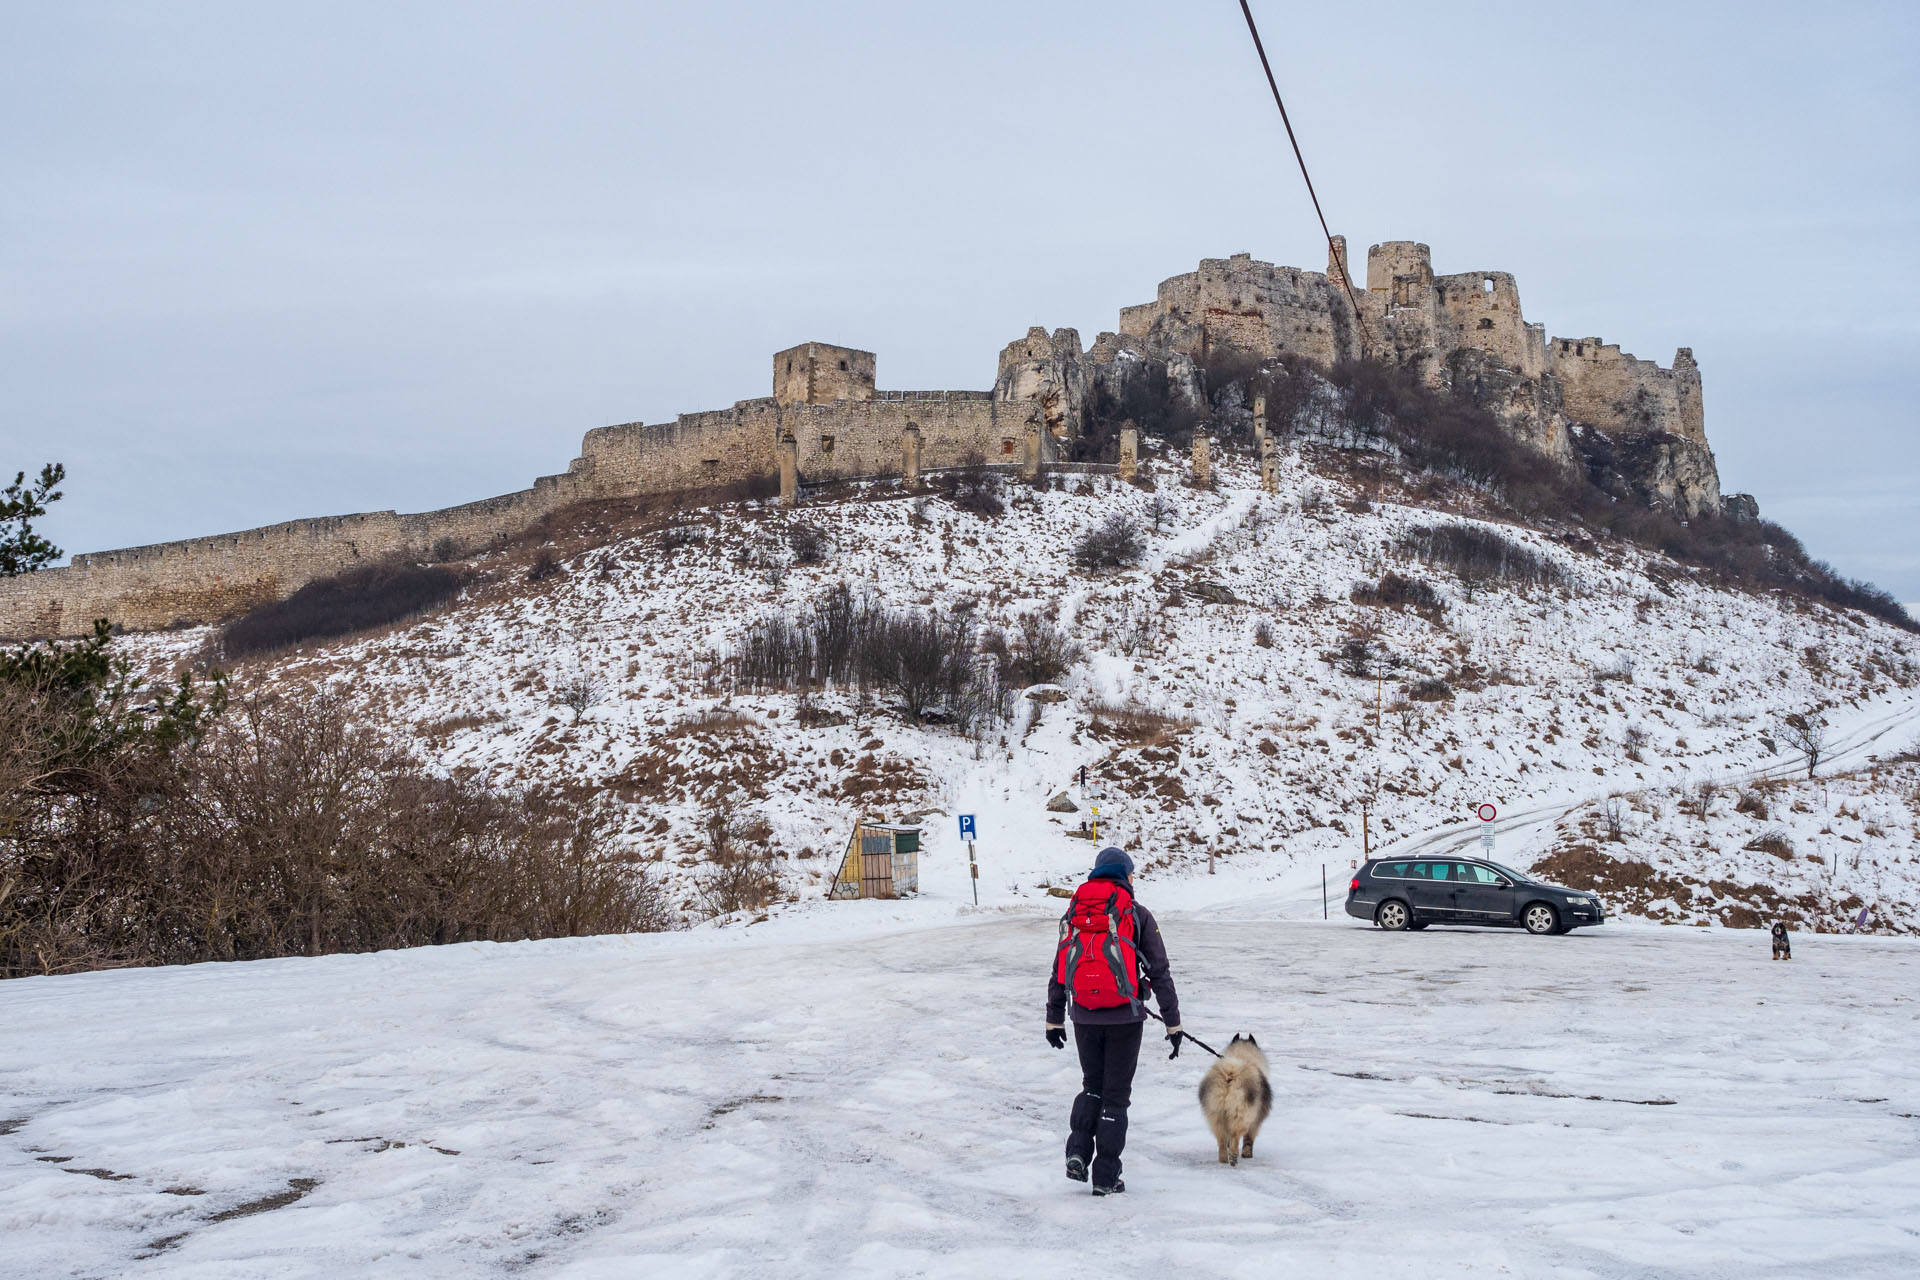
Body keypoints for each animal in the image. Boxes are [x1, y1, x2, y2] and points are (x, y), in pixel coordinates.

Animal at [1198, 1036, 1274, 1166]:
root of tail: (1231, 1073)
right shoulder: (1255, 1121)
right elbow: (1249, 1138)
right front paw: (1247, 1154)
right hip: (1241, 1113)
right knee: (1235, 1135)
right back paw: (1233, 1156)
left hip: (1215, 1112)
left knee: (1222, 1139)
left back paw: (1224, 1159)